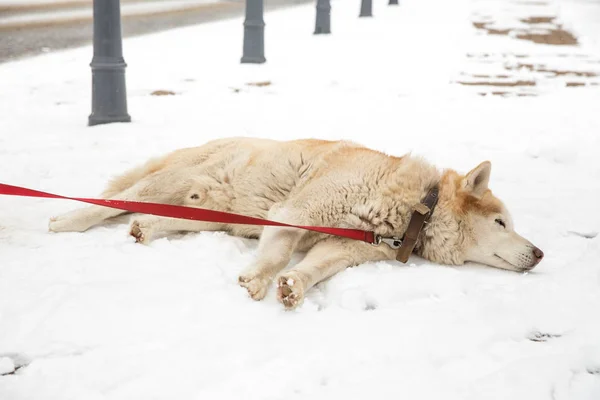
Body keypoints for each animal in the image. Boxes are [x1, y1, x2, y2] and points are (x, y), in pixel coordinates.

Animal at [48, 138, 544, 310]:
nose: (540, 253)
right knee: (110, 203)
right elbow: (280, 252)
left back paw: (144, 229)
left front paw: (293, 287)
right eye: (501, 222)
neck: (413, 209)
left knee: (158, 218)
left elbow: (313, 267)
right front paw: (259, 279)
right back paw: (65, 220)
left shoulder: (344, 247)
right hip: (177, 182)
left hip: (211, 211)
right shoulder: (298, 215)